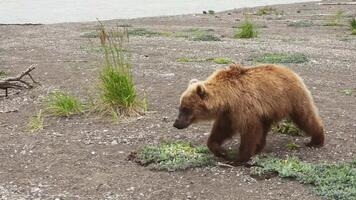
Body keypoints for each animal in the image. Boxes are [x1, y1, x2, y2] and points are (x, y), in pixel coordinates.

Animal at [173, 63, 326, 163]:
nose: (176, 123)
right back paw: (259, 147)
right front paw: (221, 151)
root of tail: (291, 71)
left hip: (292, 97)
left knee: (305, 116)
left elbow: (249, 130)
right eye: (180, 107)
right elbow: (221, 130)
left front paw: (239, 158)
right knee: (264, 128)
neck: (227, 98)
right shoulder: (229, 113)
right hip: (268, 110)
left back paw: (316, 140)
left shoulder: (244, 107)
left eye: (186, 108)